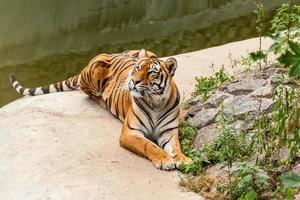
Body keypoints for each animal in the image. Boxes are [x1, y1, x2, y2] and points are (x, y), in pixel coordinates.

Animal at [9, 49, 192, 170]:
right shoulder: (130, 132)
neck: (156, 102)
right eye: (137, 69)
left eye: (152, 73)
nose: (134, 81)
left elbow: (176, 147)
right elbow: (149, 146)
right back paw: (102, 100)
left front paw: (183, 159)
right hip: (95, 69)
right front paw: (165, 160)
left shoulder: (168, 132)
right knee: (89, 94)